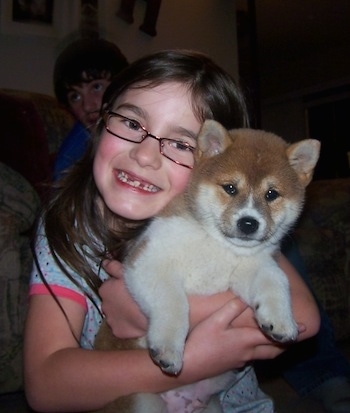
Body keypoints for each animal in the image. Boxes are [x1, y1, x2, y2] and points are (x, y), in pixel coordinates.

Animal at [95, 117, 320, 410]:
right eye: (230, 188)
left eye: (271, 194)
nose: (248, 223)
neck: (216, 246)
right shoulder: (148, 261)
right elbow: (175, 304)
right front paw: (168, 347)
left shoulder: (253, 267)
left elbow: (276, 281)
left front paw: (281, 319)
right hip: (142, 402)